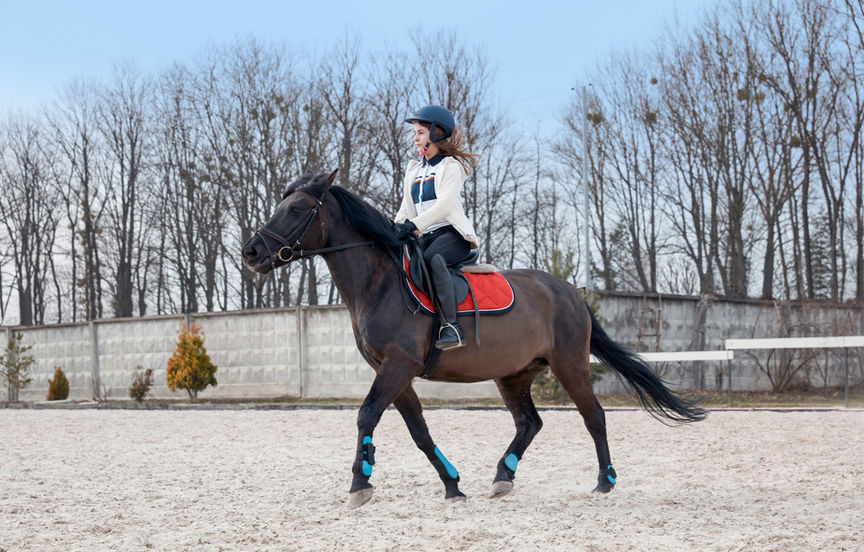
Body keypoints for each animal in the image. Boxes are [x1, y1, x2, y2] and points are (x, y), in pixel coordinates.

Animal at [241, 169, 706, 509]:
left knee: (594, 417)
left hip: (569, 363)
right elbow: (418, 431)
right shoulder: (392, 370)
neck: (380, 282)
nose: (251, 252)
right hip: (514, 374)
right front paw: (451, 484)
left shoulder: (399, 364)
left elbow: (367, 414)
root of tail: (570, 291)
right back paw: (503, 477)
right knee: (529, 423)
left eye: (297, 208)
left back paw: (605, 481)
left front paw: (360, 482)